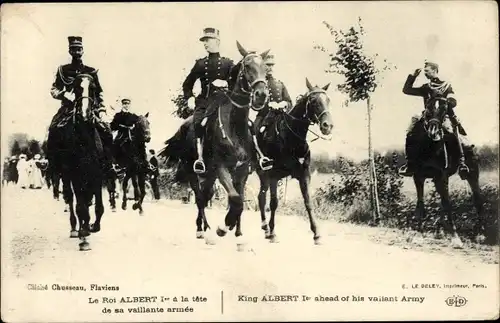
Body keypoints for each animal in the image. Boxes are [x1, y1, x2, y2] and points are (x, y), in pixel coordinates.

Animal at [46, 73, 106, 251]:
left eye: (93, 88)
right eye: (76, 88)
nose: (85, 115)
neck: (84, 140)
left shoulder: (97, 174)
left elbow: (98, 207)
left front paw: (92, 226)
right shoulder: (75, 175)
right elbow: (81, 206)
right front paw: (83, 236)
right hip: (64, 175)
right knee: (70, 198)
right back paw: (75, 229)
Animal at [159, 41, 270, 247]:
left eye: (265, 68)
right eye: (247, 66)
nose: (261, 95)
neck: (234, 126)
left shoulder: (242, 170)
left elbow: (239, 200)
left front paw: (237, 232)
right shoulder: (221, 167)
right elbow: (235, 199)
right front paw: (223, 227)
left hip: (209, 175)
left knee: (206, 194)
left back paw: (208, 227)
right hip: (194, 172)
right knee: (200, 198)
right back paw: (202, 230)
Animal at [256, 79, 334, 244]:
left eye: (328, 100)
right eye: (313, 101)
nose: (328, 126)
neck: (291, 138)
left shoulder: (304, 175)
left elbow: (308, 202)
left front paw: (316, 233)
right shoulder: (274, 176)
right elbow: (274, 203)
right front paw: (273, 233)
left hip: (263, 176)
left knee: (261, 197)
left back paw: (265, 228)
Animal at [406, 96, 484, 248]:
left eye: (444, 109)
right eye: (428, 108)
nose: (434, 132)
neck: (429, 147)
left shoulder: (442, 176)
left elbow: (447, 204)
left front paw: (455, 238)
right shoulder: (418, 176)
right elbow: (421, 203)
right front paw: (418, 235)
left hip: (472, 173)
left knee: (477, 198)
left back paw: (480, 234)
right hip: (437, 179)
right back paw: (440, 231)